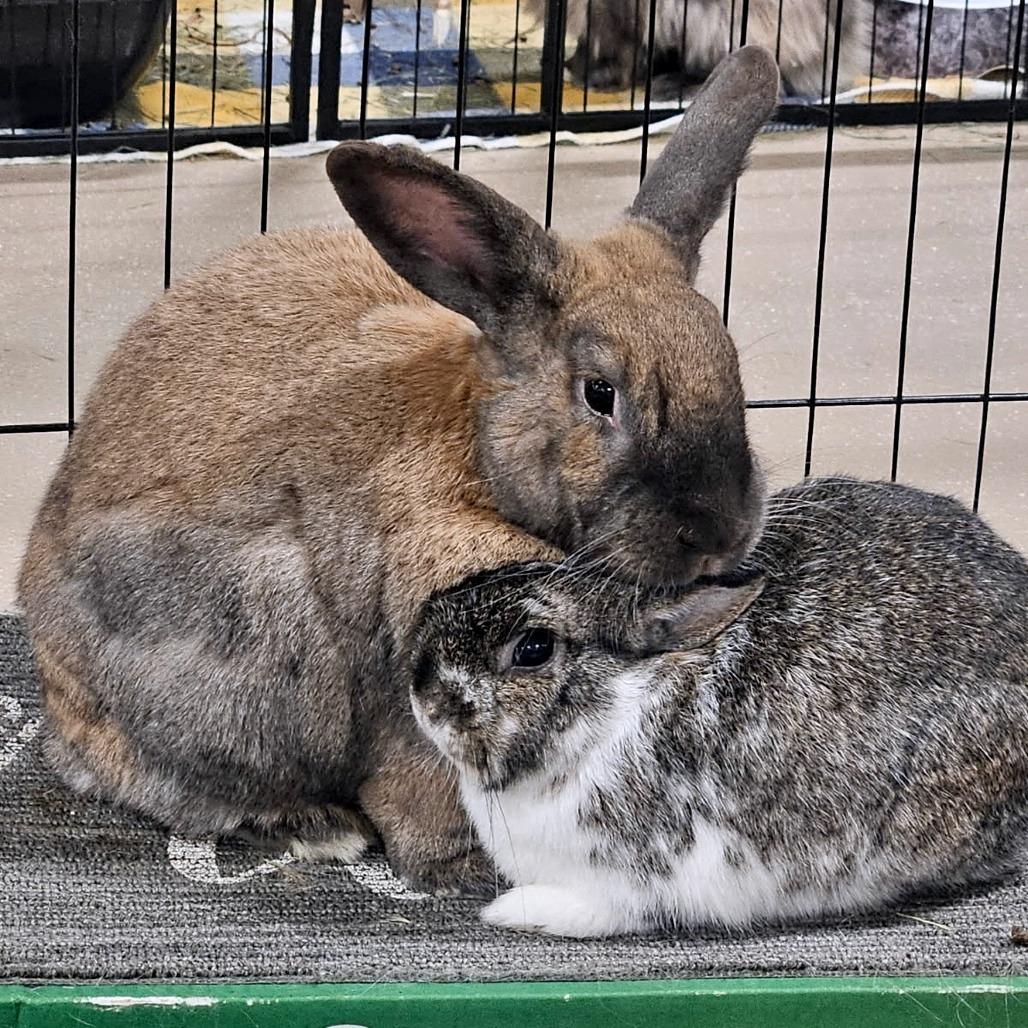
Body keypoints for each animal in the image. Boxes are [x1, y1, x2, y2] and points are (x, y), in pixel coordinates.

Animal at [17, 47, 778, 896]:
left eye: (733, 364)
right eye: (600, 393)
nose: (719, 531)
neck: (479, 457)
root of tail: (56, 693)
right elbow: (427, 778)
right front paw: (462, 868)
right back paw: (314, 827)